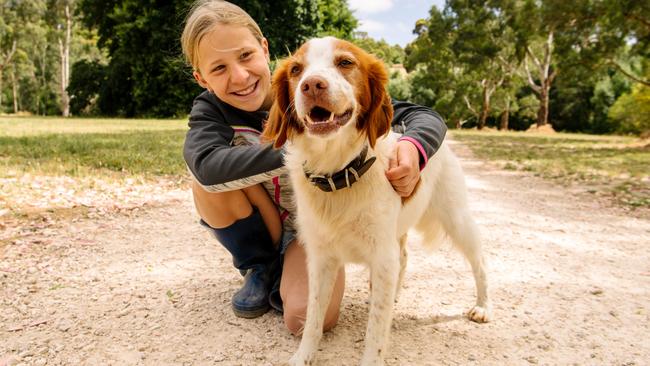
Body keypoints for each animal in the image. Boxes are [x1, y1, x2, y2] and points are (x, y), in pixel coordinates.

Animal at [260, 35, 488, 364]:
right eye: (295, 70)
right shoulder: (321, 258)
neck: (339, 174)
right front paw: (303, 357)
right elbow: (313, 318)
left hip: (456, 220)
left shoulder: (381, 255)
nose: (311, 84)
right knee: (404, 258)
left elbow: (376, 331)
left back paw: (482, 306)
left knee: (479, 261)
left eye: (345, 62)